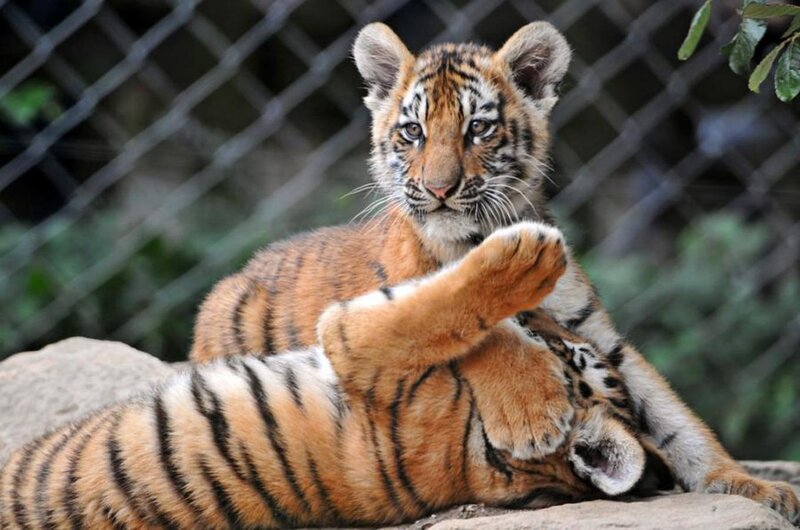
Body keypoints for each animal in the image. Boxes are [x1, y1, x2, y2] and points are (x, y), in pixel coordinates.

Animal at [189, 21, 800, 525]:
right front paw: (533, 413)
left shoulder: (599, 335)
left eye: (478, 129)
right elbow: (477, 329)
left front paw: (750, 485)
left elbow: (678, 419)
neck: (479, 235)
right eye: (412, 132)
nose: (438, 188)